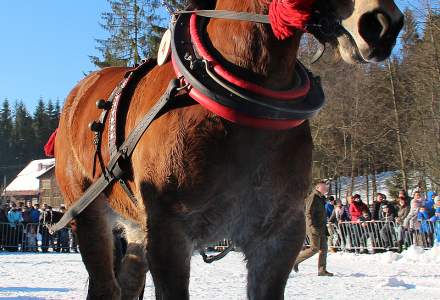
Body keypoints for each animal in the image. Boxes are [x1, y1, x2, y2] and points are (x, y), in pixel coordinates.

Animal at [55, 0, 402, 300]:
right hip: (88, 213)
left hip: (137, 224)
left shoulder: (278, 235)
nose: (384, 23)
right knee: (105, 285)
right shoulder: (169, 232)